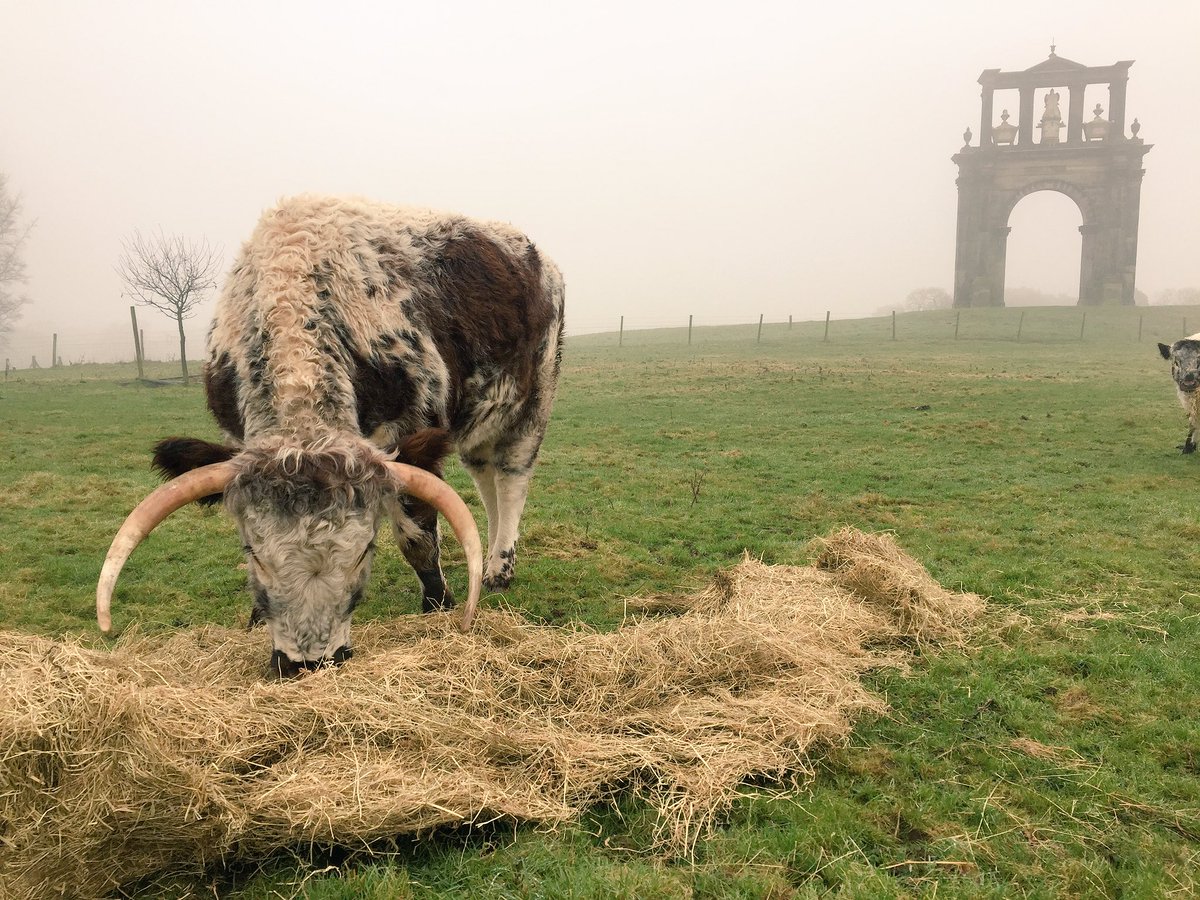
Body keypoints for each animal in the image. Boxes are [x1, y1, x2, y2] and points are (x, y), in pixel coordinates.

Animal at [97, 195, 565, 676]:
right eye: (253, 552)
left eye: (365, 551)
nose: (308, 663)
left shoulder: (413, 435)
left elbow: (417, 537)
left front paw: (438, 604)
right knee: (485, 481)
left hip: (533, 400)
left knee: (511, 479)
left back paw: (499, 569)